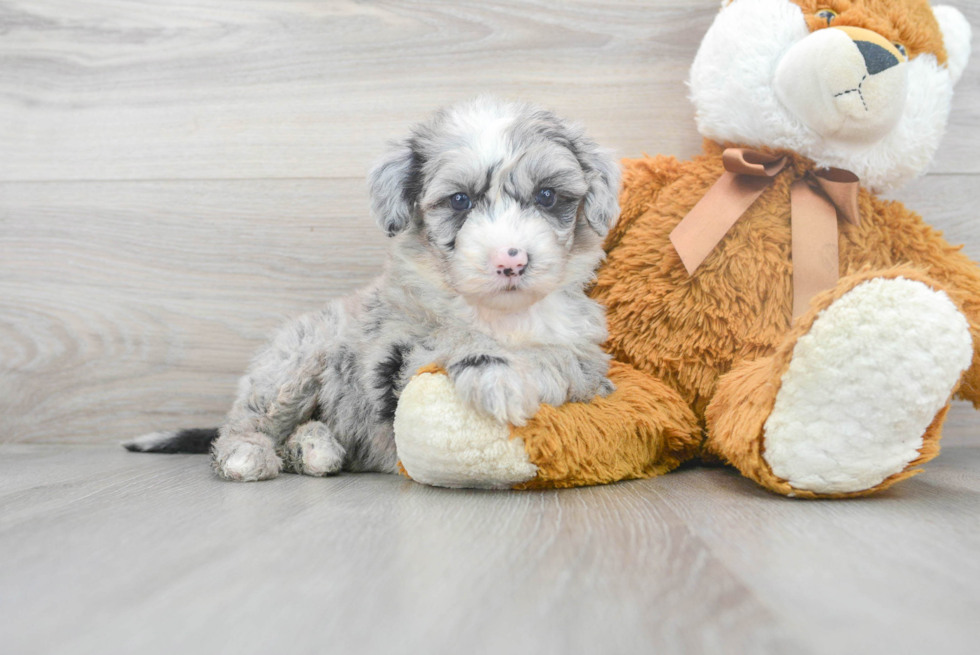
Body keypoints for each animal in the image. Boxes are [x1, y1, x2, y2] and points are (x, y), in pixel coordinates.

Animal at [126, 100, 620, 484]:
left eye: (547, 195)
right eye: (460, 200)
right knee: (248, 420)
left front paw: (525, 373)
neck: (503, 315)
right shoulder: (395, 351)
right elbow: (451, 339)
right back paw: (247, 455)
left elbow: (568, 362)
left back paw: (315, 448)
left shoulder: (589, 357)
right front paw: (495, 375)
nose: (511, 261)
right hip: (295, 361)